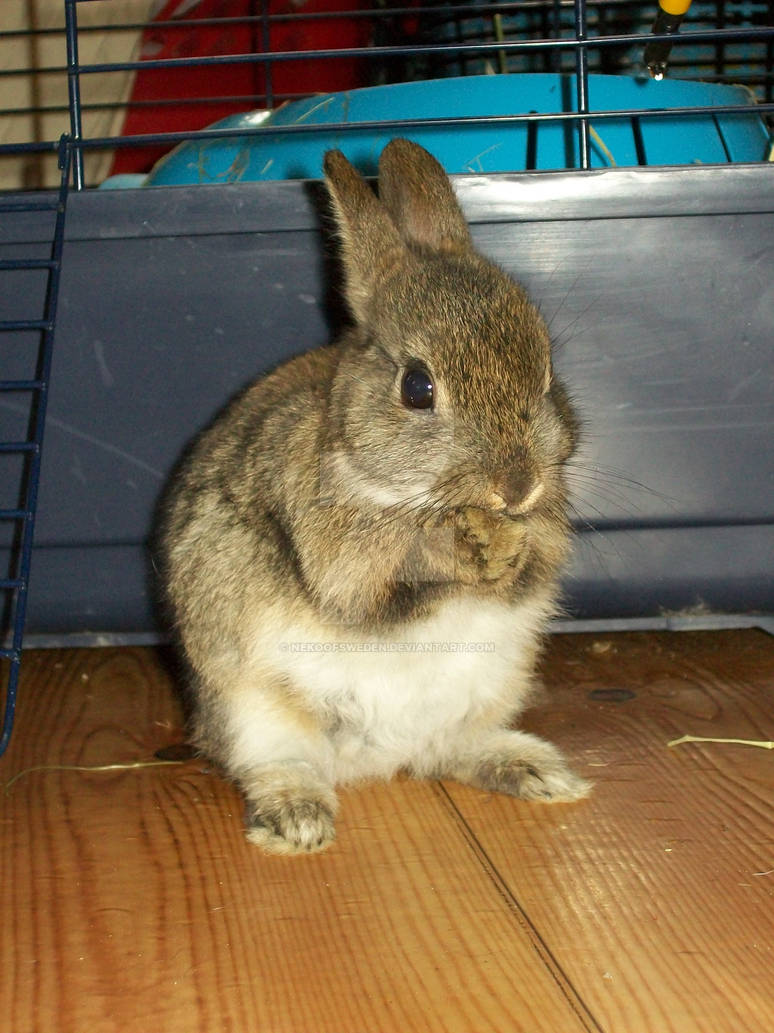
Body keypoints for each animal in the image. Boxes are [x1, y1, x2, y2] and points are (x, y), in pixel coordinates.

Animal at [158, 138, 590, 855]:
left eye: (548, 371)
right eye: (417, 387)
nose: (517, 486)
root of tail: (378, 760)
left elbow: (531, 564)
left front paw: (509, 549)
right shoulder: (343, 560)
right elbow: (384, 576)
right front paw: (462, 546)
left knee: (448, 750)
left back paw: (539, 773)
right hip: (250, 706)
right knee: (280, 762)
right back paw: (297, 822)